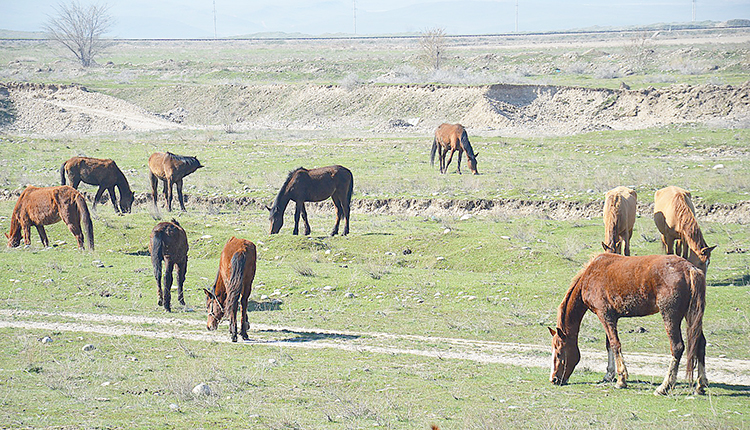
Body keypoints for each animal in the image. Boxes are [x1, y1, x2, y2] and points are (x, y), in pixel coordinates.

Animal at [548, 252, 708, 396]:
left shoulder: (605, 315)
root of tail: (690, 269)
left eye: (559, 352)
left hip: (670, 316)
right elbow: (609, 345)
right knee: (700, 344)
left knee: (677, 347)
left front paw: (621, 380)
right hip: (692, 316)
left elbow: (615, 344)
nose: (554, 379)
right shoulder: (611, 317)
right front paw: (610, 375)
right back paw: (700, 385)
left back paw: (664, 387)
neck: (590, 275)